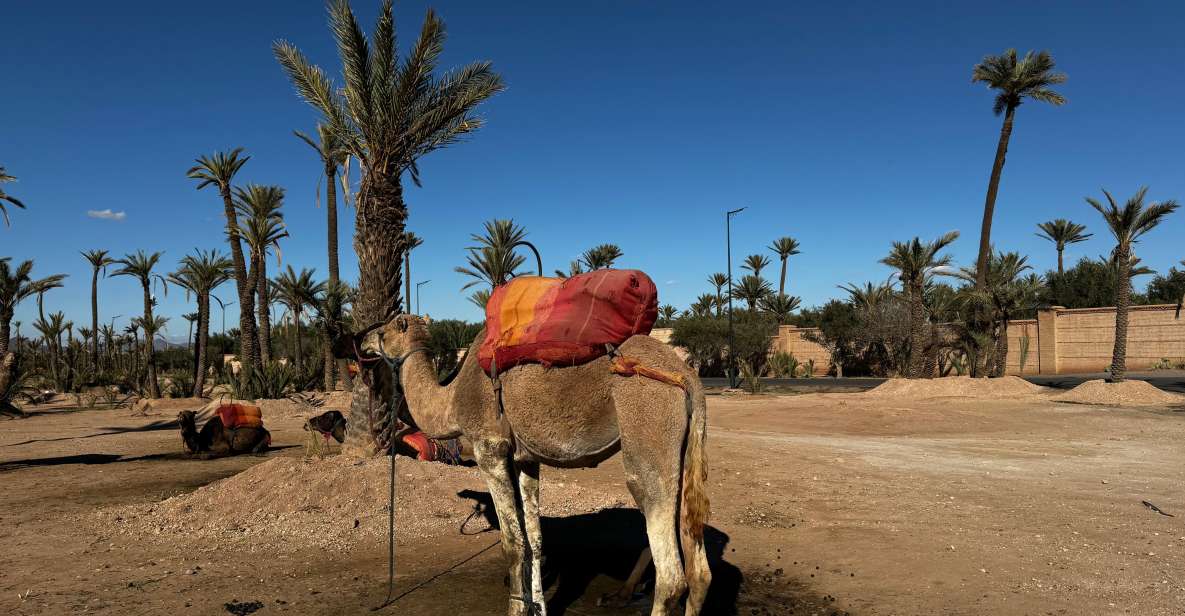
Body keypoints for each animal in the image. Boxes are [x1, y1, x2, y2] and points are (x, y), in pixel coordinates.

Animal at [338, 315, 706, 616]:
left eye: (382, 331)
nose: (359, 340)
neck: (452, 400)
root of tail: (687, 374)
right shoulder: (527, 461)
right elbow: (536, 540)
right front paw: (538, 608)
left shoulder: (490, 449)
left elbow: (513, 544)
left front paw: (517, 608)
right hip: (685, 448)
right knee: (698, 570)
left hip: (648, 427)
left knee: (672, 574)